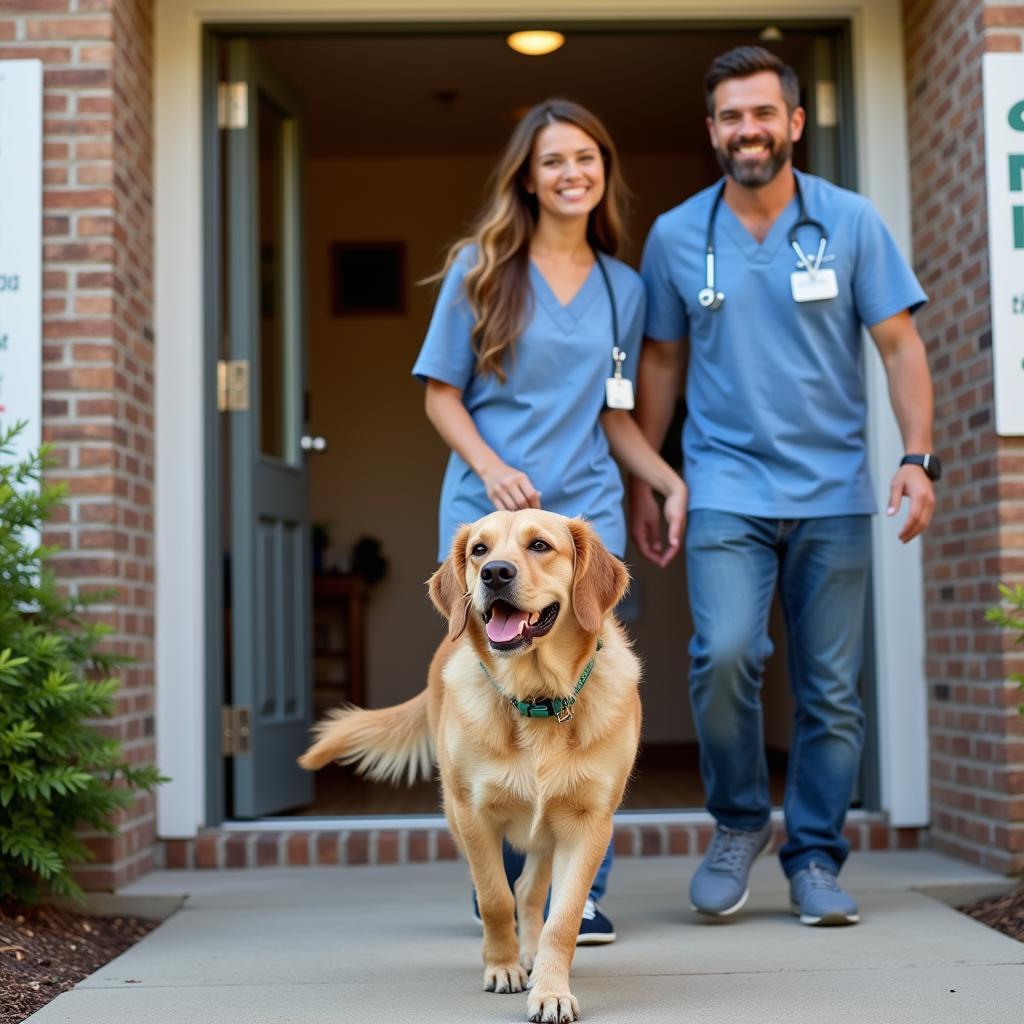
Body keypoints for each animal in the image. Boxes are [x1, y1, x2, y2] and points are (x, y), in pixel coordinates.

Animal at [299, 507, 643, 1019]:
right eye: (480, 549)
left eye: (539, 546)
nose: (495, 573)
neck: (536, 699)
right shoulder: (474, 814)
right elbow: (495, 897)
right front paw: (502, 968)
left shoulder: (589, 823)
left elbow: (560, 918)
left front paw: (550, 990)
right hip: (456, 814)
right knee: (510, 892)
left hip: (548, 831)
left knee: (532, 893)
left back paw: (531, 954)